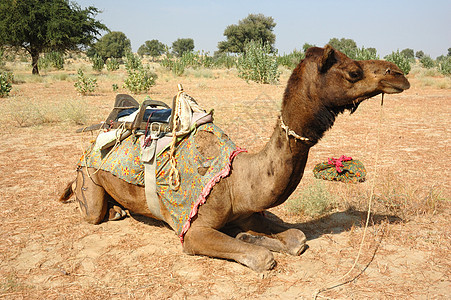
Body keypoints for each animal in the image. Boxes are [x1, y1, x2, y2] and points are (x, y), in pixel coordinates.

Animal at [60, 45, 410, 272]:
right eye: (353, 71)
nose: (399, 74)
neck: (236, 180)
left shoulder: (249, 210)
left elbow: (296, 237)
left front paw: (248, 235)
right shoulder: (194, 232)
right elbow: (263, 259)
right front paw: (254, 244)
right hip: (88, 180)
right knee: (91, 209)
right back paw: (113, 210)